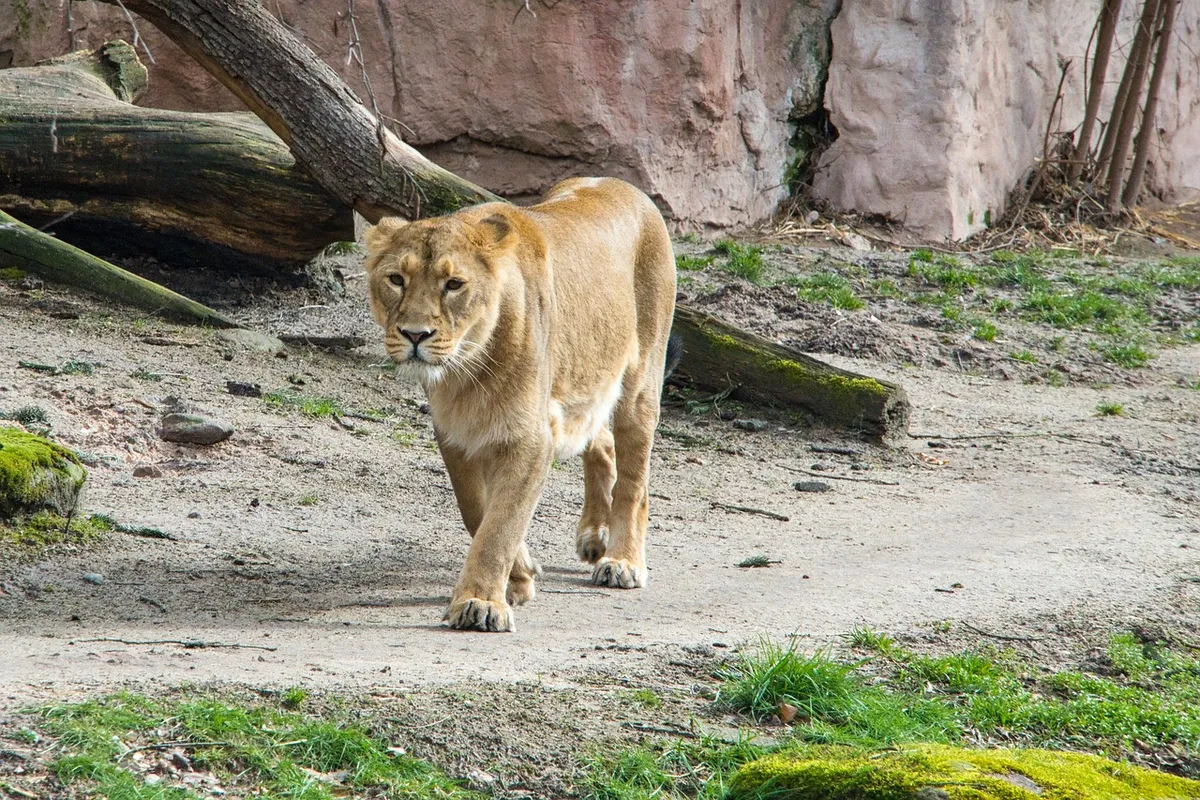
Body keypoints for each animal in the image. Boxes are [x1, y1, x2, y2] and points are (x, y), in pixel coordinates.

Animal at [364, 177, 677, 632]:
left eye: (454, 284)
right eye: (395, 279)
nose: (415, 335)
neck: (467, 370)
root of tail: (624, 185)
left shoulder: (531, 437)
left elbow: (501, 523)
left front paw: (480, 602)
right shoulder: (455, 434)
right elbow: (477, 510)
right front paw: (520, 574)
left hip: (641, 381)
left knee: (635, 480)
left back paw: (622, 561)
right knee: (600, 443)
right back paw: (594, 536)